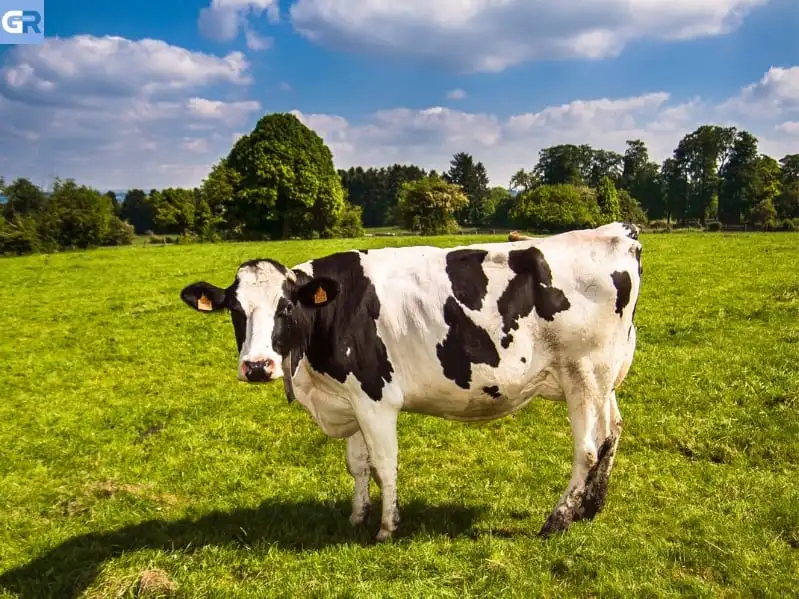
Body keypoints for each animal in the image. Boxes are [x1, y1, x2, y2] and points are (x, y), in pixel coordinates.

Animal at [180, 223, 644, 540]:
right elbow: (357, 465)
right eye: (235, 310)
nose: (257, 366)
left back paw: (558, 519)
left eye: (286, 307)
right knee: (612, 433)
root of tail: (617, 232)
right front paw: (357, 515)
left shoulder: (375, 398)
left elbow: (384, 464)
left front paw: (387, 527)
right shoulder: (348, 399)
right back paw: (591, 507)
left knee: (587, 449)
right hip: (604, 377)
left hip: (583, 374)